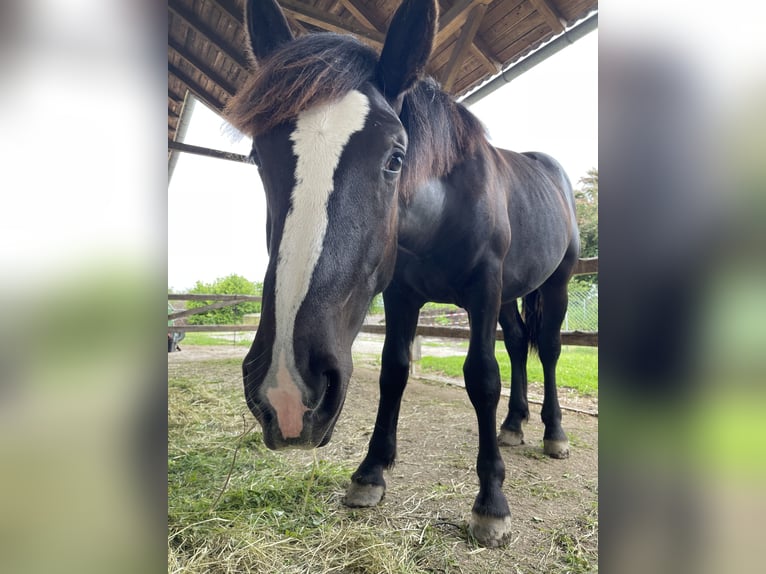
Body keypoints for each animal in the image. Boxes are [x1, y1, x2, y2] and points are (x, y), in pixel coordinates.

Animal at [228, 0, 584, 548]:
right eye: (257, 156)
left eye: (396, 157)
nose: (287, 391)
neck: (443, 208)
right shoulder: (401, 296)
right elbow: (393, 372)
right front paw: (370, 473)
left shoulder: (484, 290)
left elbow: (482, 378)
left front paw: (491, 503)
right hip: (510, 296)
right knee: (519, 343)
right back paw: (513, 425)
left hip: (554, 285)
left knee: (545, 349)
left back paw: (553, 433)